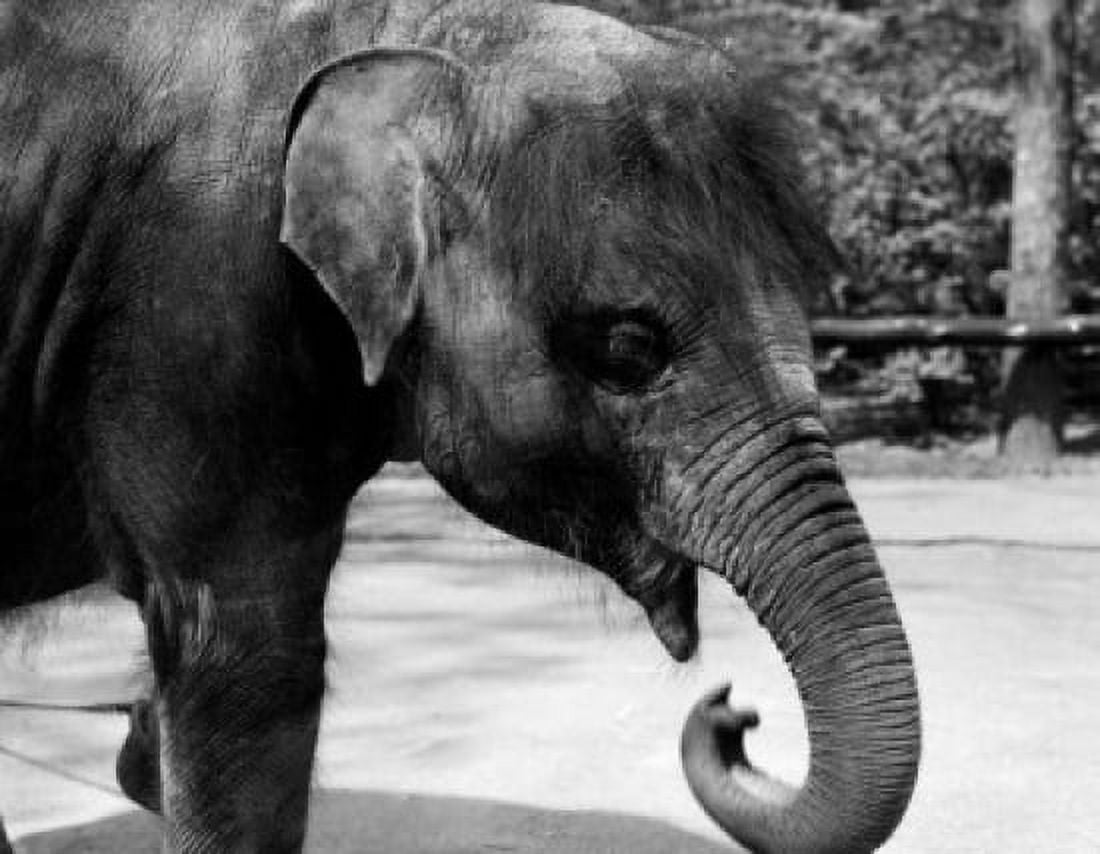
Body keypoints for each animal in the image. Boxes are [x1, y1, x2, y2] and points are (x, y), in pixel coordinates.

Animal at [0, 1, 921, 852]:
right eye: (628, 348)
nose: (734, 711)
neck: (395, 34)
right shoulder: (193, 304)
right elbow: (245, 653)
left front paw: (145, 749)